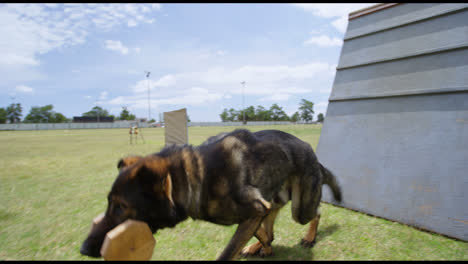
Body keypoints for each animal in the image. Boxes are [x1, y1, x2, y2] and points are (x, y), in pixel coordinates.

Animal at [80, 128, 342, 260]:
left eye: (121, 207)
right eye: (109, 203)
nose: (82, 249)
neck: (197, 176)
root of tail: (311, 152)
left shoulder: (255, 209)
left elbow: (229, 252)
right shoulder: (257, 209)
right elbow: (262, 231)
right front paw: (264, 245)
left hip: (301, 208)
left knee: (316, 212)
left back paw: (309, 237)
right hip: (280, 196)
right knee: (273, 216)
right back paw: (262, 247)